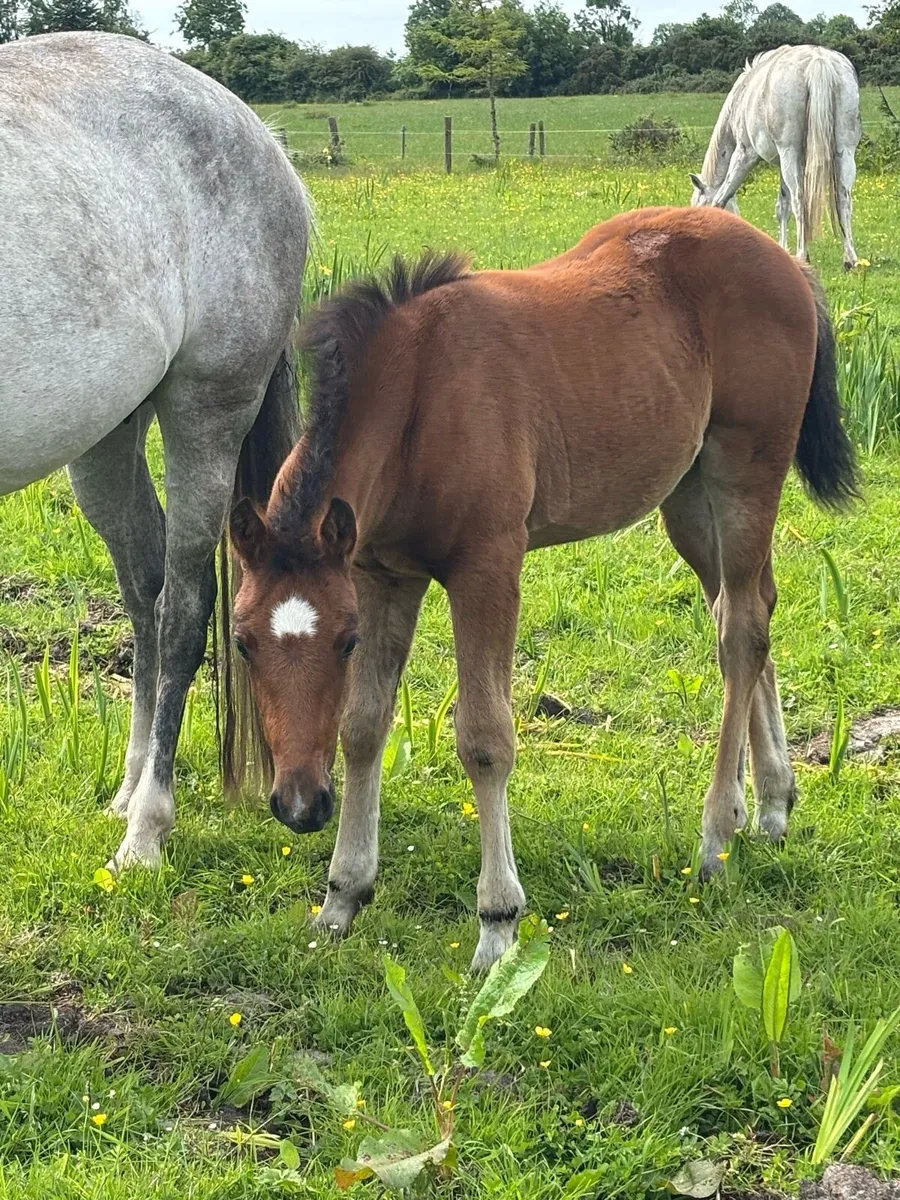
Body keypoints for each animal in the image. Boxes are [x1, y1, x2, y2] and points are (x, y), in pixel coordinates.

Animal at [0, 32, 311, 870]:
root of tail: (264, 139)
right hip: (107, 436)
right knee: (143, 588)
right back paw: (129, 788)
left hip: (205, 412)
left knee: (181, 609)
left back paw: (146, 828)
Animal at [222, 205, 858, 972]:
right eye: (243, 644)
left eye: (342, 644)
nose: (300, 805)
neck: (419, 399)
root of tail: (787, 262)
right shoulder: (382, 574)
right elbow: (363, 726)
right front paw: (342, 896)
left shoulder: (489, 564)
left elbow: (486, 739)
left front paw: (498, 924)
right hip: (689, 495)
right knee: (748, 607)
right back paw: (772, 803)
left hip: (746, 470)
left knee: (739, 631)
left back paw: (716, 835)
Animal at [689, 45, 861, 270]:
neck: (741, 97)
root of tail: (818, 60)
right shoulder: (782, 164)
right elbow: (782, 206)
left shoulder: (745, 154)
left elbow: (722, 197)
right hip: (844, 151)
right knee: (843, 199)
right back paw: (850, 259)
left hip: (790, 153)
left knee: (800, 199)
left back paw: (802, 255)